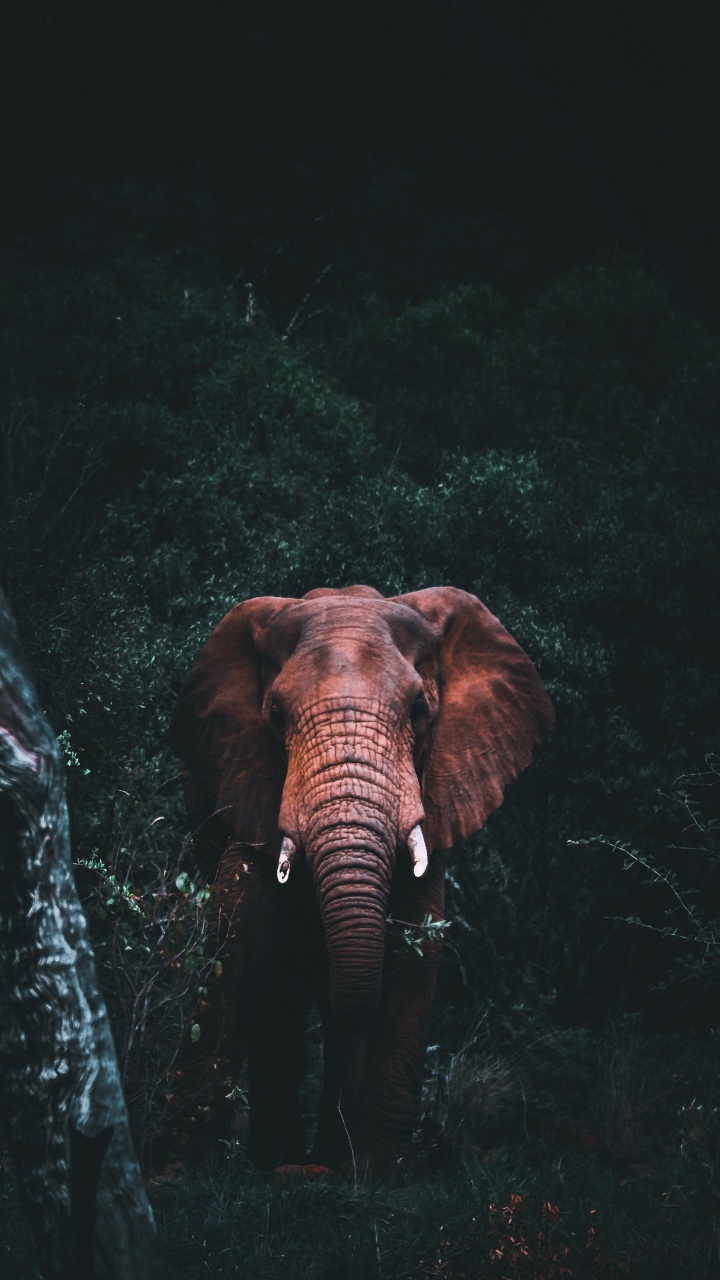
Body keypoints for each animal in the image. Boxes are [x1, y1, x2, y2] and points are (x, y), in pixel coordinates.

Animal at [168, 585, 553, 1172]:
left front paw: (380, 1168)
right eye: (275, 714)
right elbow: (238, 937)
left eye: (420, 711)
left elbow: (417, 943)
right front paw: (189, 1159)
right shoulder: (248, 778)